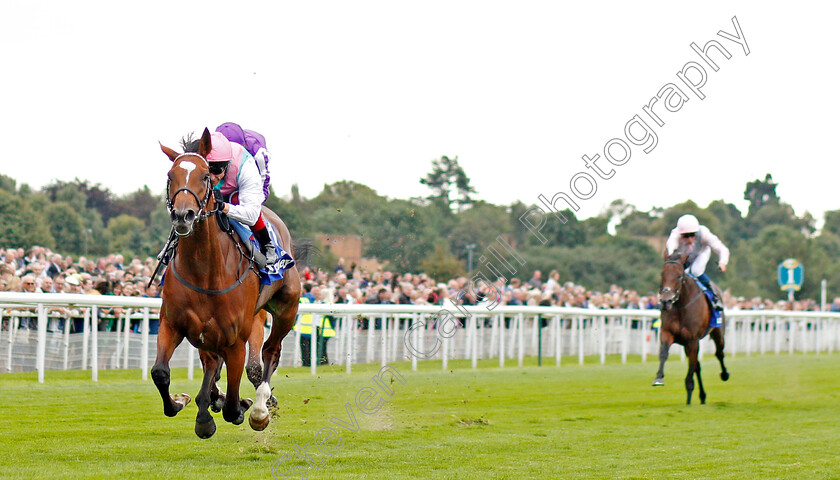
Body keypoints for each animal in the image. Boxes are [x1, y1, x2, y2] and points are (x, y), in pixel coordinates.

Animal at [153, 127, 304, 438]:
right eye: (170, 175)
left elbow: (235, 402)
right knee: (214, 364)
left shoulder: (236, 339)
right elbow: (161, 372)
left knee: (269, 353)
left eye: (205, 176)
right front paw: (182, 401)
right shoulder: (173, 324)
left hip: (286, 309)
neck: (205, 270)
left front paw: (242, 406)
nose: (183, 215)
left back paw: (259, 407)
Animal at [648, 251, 728, 404]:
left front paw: (689, 393)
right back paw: (702, 396)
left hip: (717, 332)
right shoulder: (667, 333)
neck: (681, 306)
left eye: (679, 275)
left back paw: (725, 374)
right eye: (662, 274)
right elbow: (664, 353)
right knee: (698, 365)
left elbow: (691, 367)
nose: (666, 301)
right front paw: (659, 378)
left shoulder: (692, 340)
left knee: (719, 353)